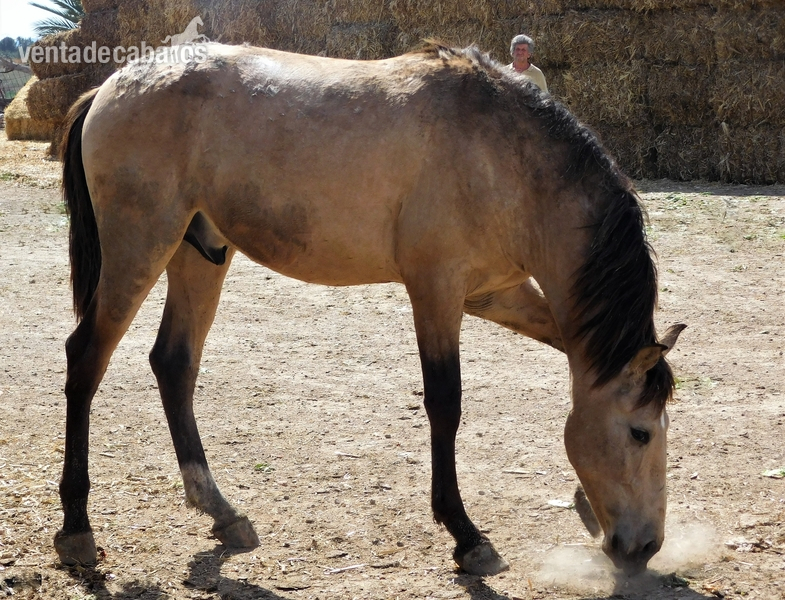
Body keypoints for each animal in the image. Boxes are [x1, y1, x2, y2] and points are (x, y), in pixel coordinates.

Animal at [55, 42, 684, 577]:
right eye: (638, 434)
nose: (645, 547)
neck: (501, 155)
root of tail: (111, 84)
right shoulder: (436, 290)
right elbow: (445, 404)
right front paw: (466, 535)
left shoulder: (494, 294)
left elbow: (564, 346)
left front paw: (581, 503)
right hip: (141, 246)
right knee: (86, 359)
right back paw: (77, 528)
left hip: (199, 253)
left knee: (174, 363)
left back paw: (221, 511)